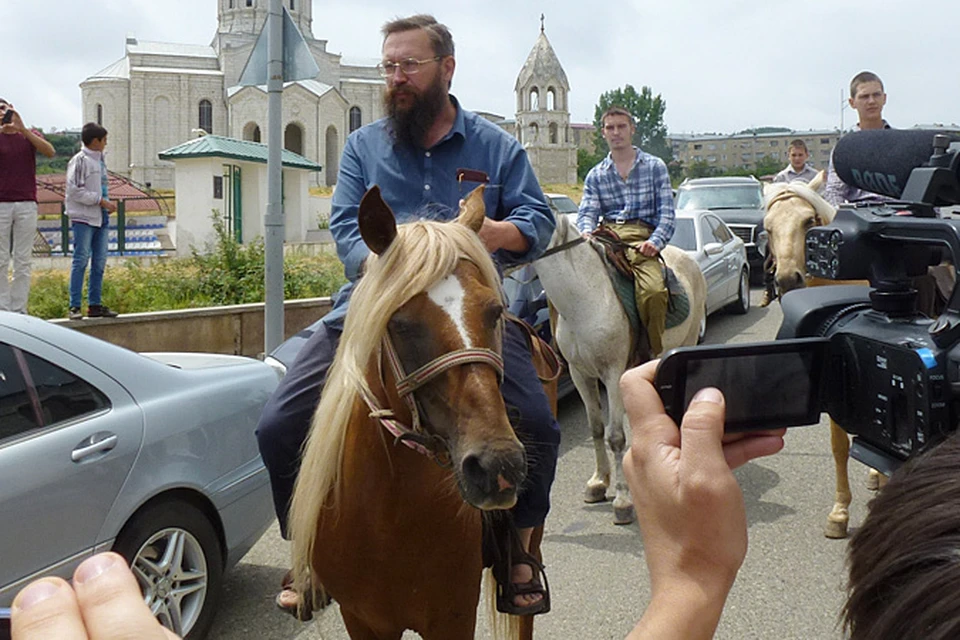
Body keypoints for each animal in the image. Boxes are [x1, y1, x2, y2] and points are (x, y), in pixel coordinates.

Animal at [288, 186, 536, 640]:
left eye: (494, 311)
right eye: (401, 324)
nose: (497, 465)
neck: (389, 514)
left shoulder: (453, 617)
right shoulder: (362, 619)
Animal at [532, 212, 704, 524]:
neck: (584, 299)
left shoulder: (612, 374)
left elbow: (615, 436)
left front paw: (623, 500)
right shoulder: (580, 374)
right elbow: (597, 428)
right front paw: (599, 482)